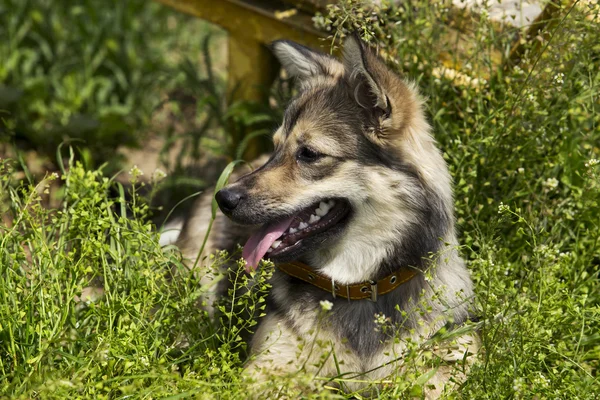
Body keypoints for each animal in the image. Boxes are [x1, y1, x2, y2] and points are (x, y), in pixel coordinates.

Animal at [173, 36, 478, 398]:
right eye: (275, 147)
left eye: (309, 154)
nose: (225, 199)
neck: (360, 285)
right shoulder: (265, 367)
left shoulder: (457, 349)